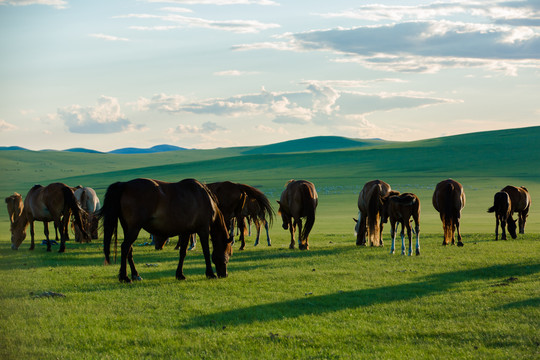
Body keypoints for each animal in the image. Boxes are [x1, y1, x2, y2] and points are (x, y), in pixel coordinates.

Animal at [98, 179, 232, 282]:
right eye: (229, 253)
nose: (224, 274)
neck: (204, 198)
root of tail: (125, 184)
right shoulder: (203, 230)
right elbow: (206, 252)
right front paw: (210, 274)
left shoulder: (186, 232)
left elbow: (183, 252)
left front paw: (180, 274)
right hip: (134, 229)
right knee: (125, 248)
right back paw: (124, 277)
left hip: (128, 228)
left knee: (129, 250)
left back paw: (135, 275)